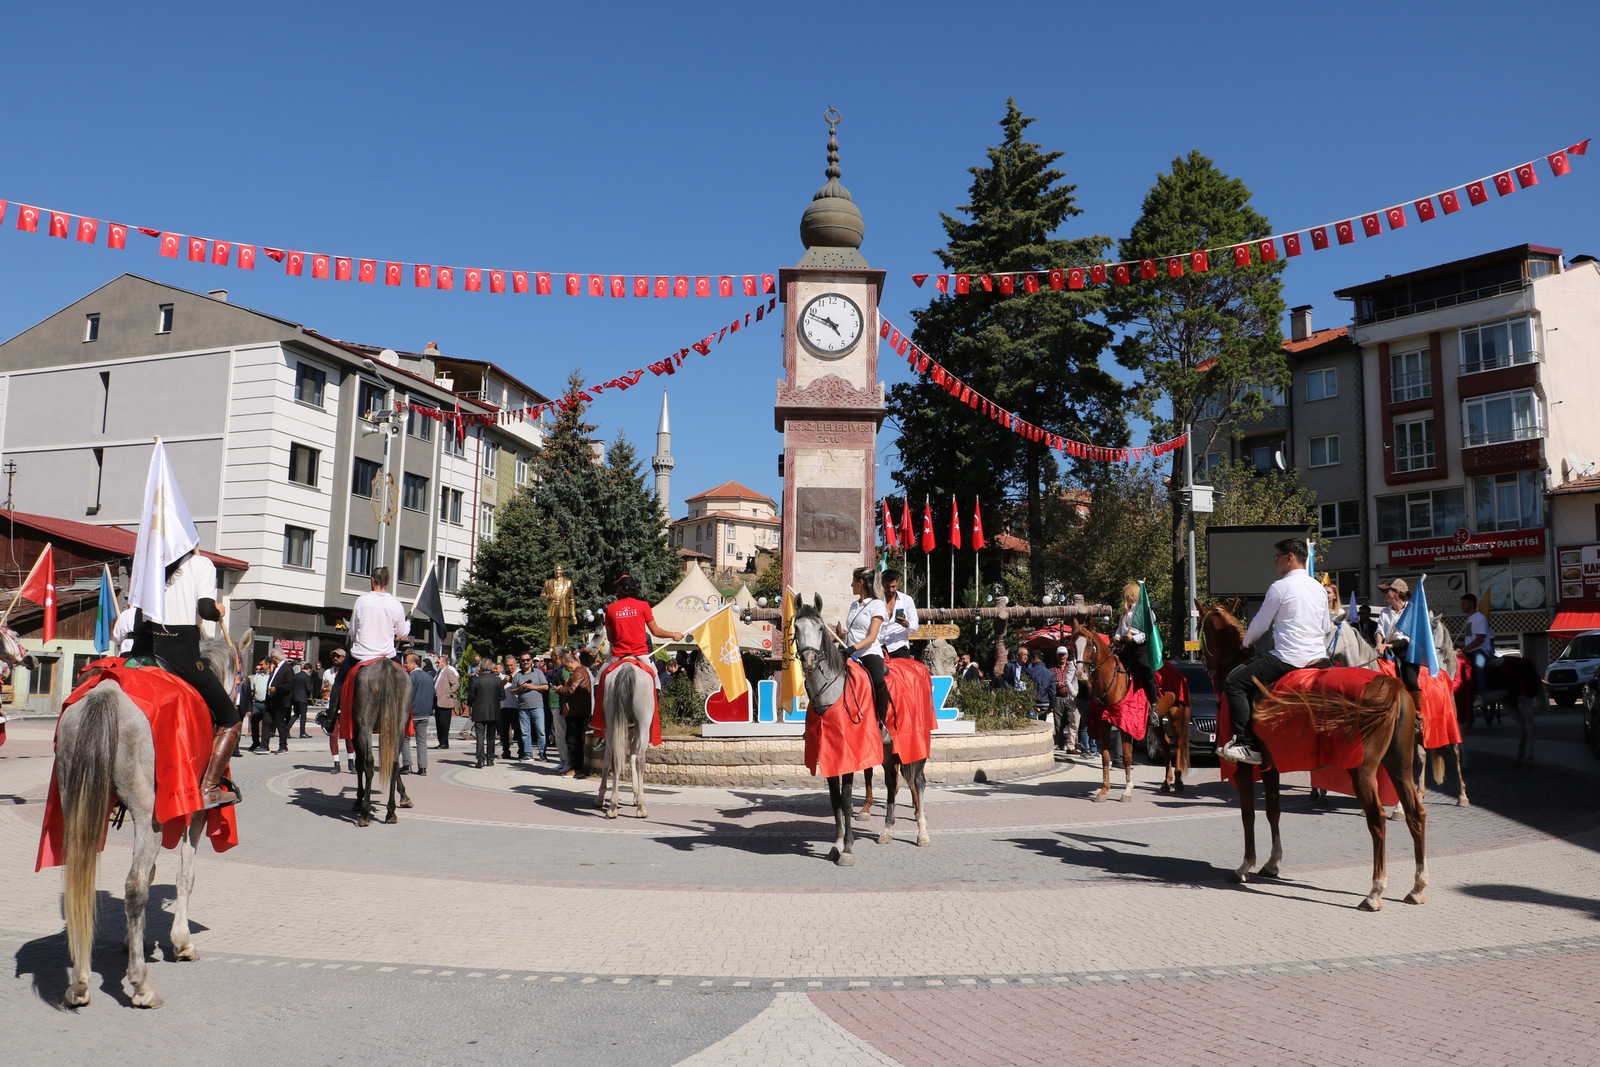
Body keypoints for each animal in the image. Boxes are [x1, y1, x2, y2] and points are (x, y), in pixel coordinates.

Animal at [57, 627, 246, 1011]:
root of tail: (106, 695)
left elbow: (156, 870)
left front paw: (136, 941)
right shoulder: (195, 813)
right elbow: (185, 875)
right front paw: (181, 942)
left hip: (78, 804)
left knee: (81, 878)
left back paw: (80, 983)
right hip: (149, 817)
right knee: (135, 886)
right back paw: (141, 985)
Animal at [1075, 620, 1139, 806]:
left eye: (1089, 644)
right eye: (1072, 643)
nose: (1080, 673)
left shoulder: (1125, 725)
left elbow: (1127, 756)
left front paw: (1127, 791)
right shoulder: (1103, 724)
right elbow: (1105, 756)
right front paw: (1103, 790)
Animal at [1196, 601, 1433, 908]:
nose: (1201, 662)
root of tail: (1390, 685)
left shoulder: (1245, 769)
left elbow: (1248, 814)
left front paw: (1245, 866)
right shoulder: (1271, 766)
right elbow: (1273, 810)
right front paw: (1272, 863)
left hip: (1363, 770)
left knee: (1377, 819)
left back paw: (1375, 891)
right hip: (1399, 765)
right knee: (1416, 814)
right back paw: (1417, 886)